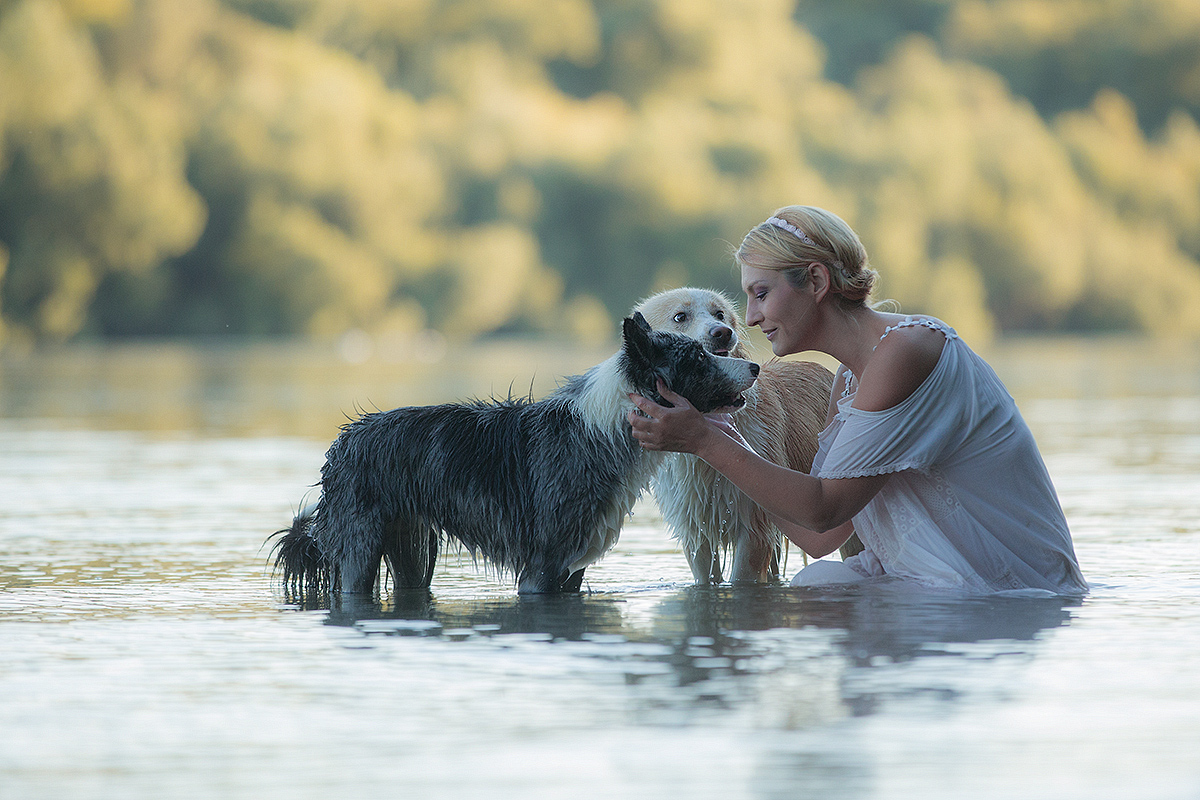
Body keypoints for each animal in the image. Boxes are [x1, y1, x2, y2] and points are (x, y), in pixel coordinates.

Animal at [272, 311, 758, 599]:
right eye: (697, 359)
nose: (754, 367)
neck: (614, 421)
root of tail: (343, 441)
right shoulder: (543, 564)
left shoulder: (572, 567)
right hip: (358, 548)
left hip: (412, 546)